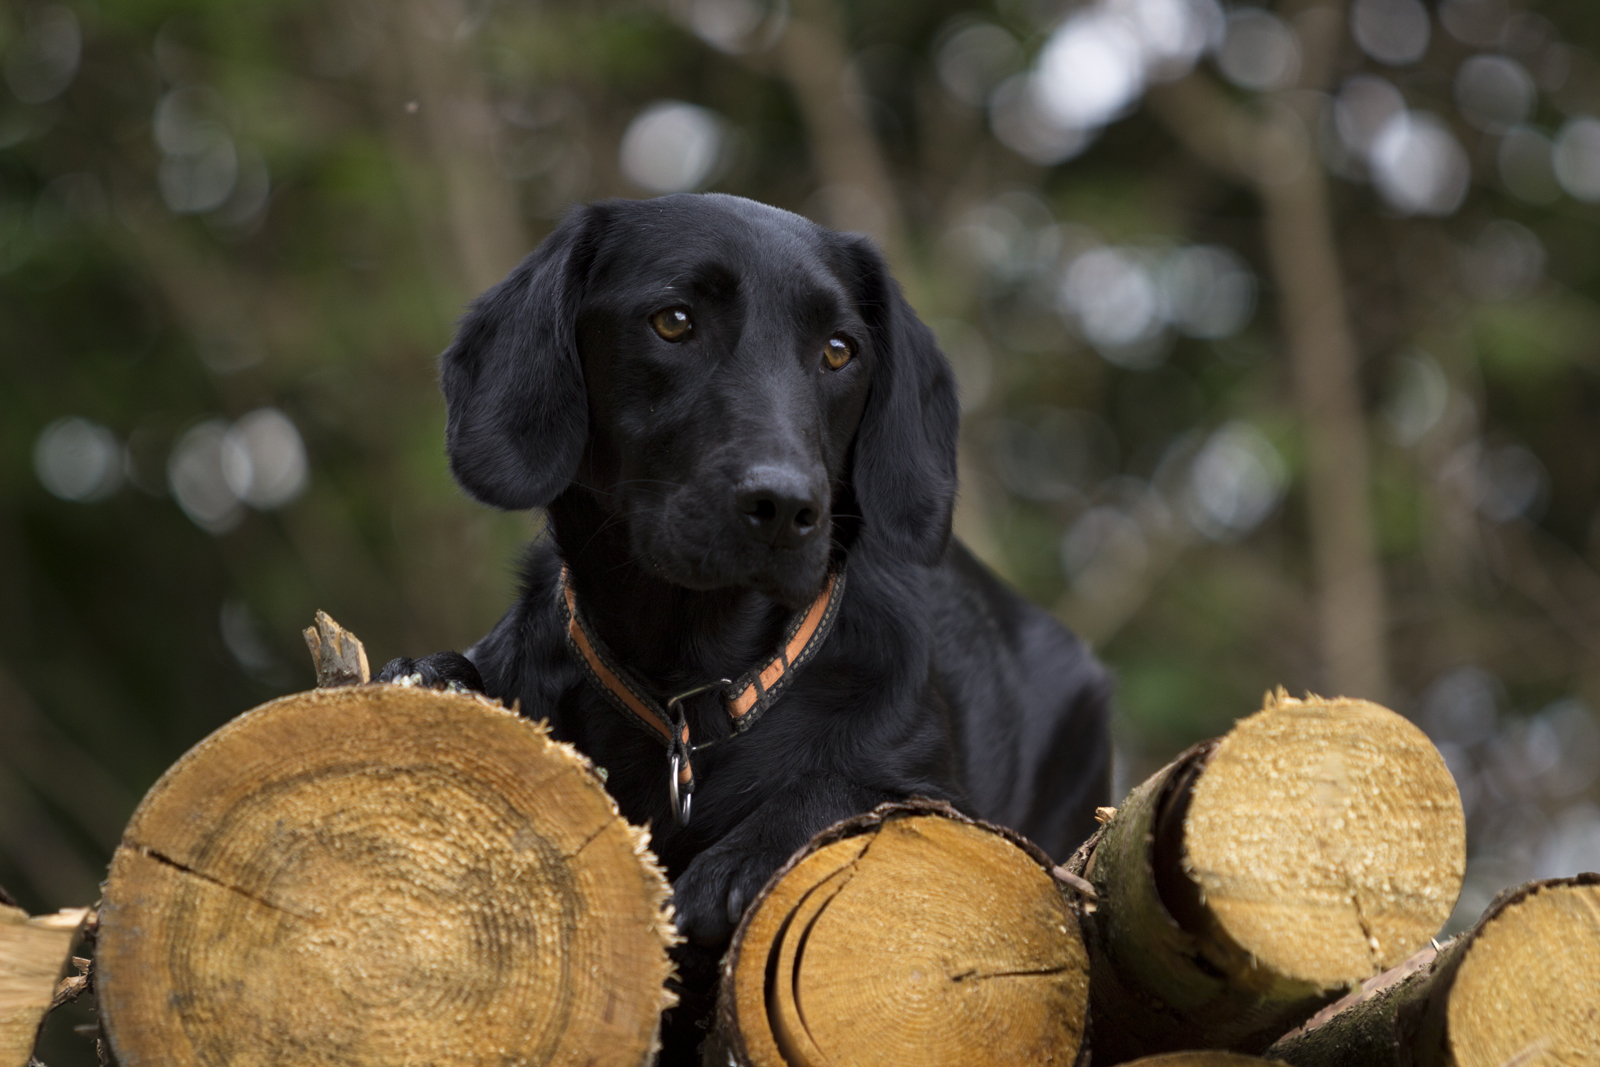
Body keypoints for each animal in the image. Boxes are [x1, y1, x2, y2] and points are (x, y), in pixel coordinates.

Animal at [379, 189, 1107, 953]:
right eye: (673, 321)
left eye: (839, 350)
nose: (785, 507)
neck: (692, 687)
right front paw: (434, 678)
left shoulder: (945, 799)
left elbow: (852, 787)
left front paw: (737, 864)